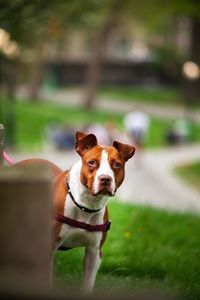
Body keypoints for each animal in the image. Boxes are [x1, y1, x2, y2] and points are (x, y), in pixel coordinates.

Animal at [15, 131, 135, 292]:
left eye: (116, 164)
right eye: (92, 162)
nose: (105, 179)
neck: (85, 205)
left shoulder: (94, 252)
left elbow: (87, 284)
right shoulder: (48, 247)